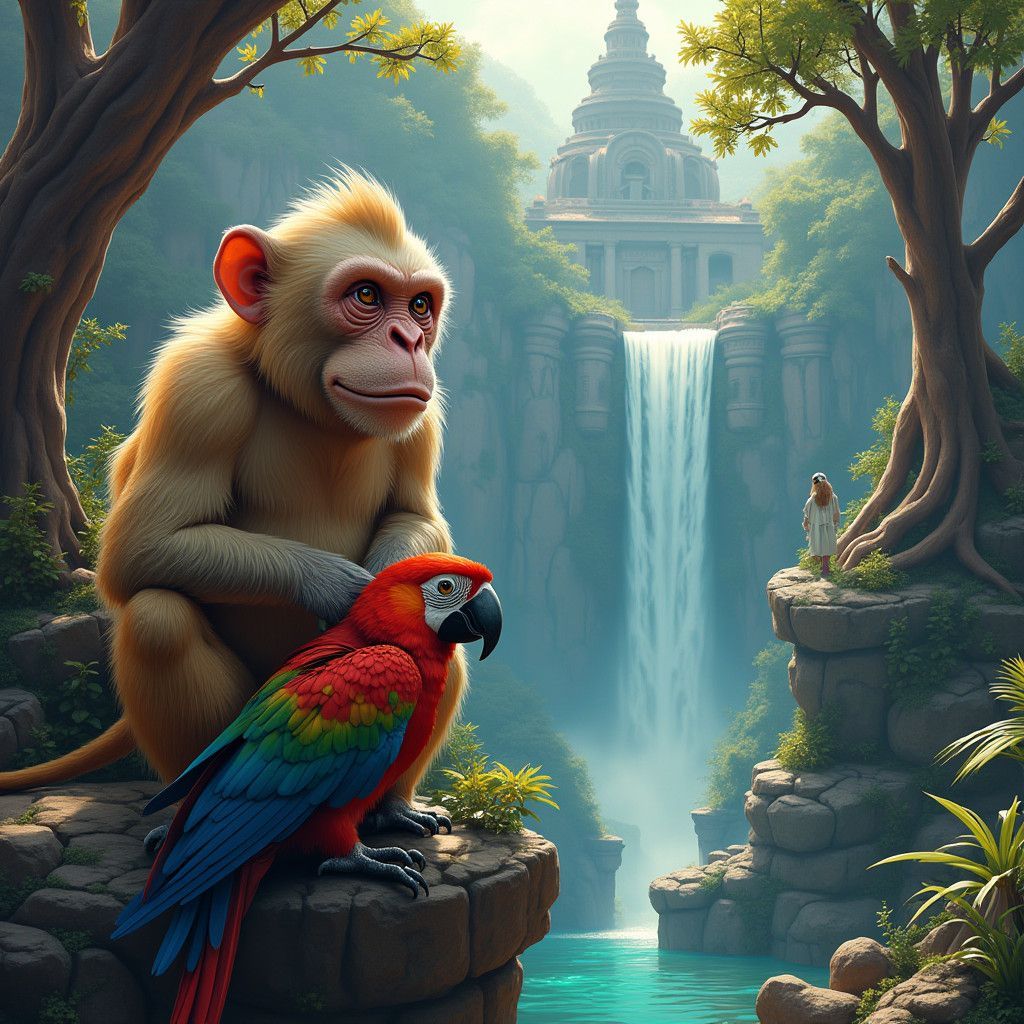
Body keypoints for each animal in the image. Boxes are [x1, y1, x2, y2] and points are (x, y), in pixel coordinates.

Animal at [0, 170, 466, 836]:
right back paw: (184, 812)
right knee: (159, 620)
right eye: (367, 296)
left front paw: (384, 579)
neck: (310, 408)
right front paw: (336, 585)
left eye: (420, 306)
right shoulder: (199, 389)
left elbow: (416, 519)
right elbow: (140, 549)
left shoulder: (422, 415)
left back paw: (390, 809)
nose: (408, 341)